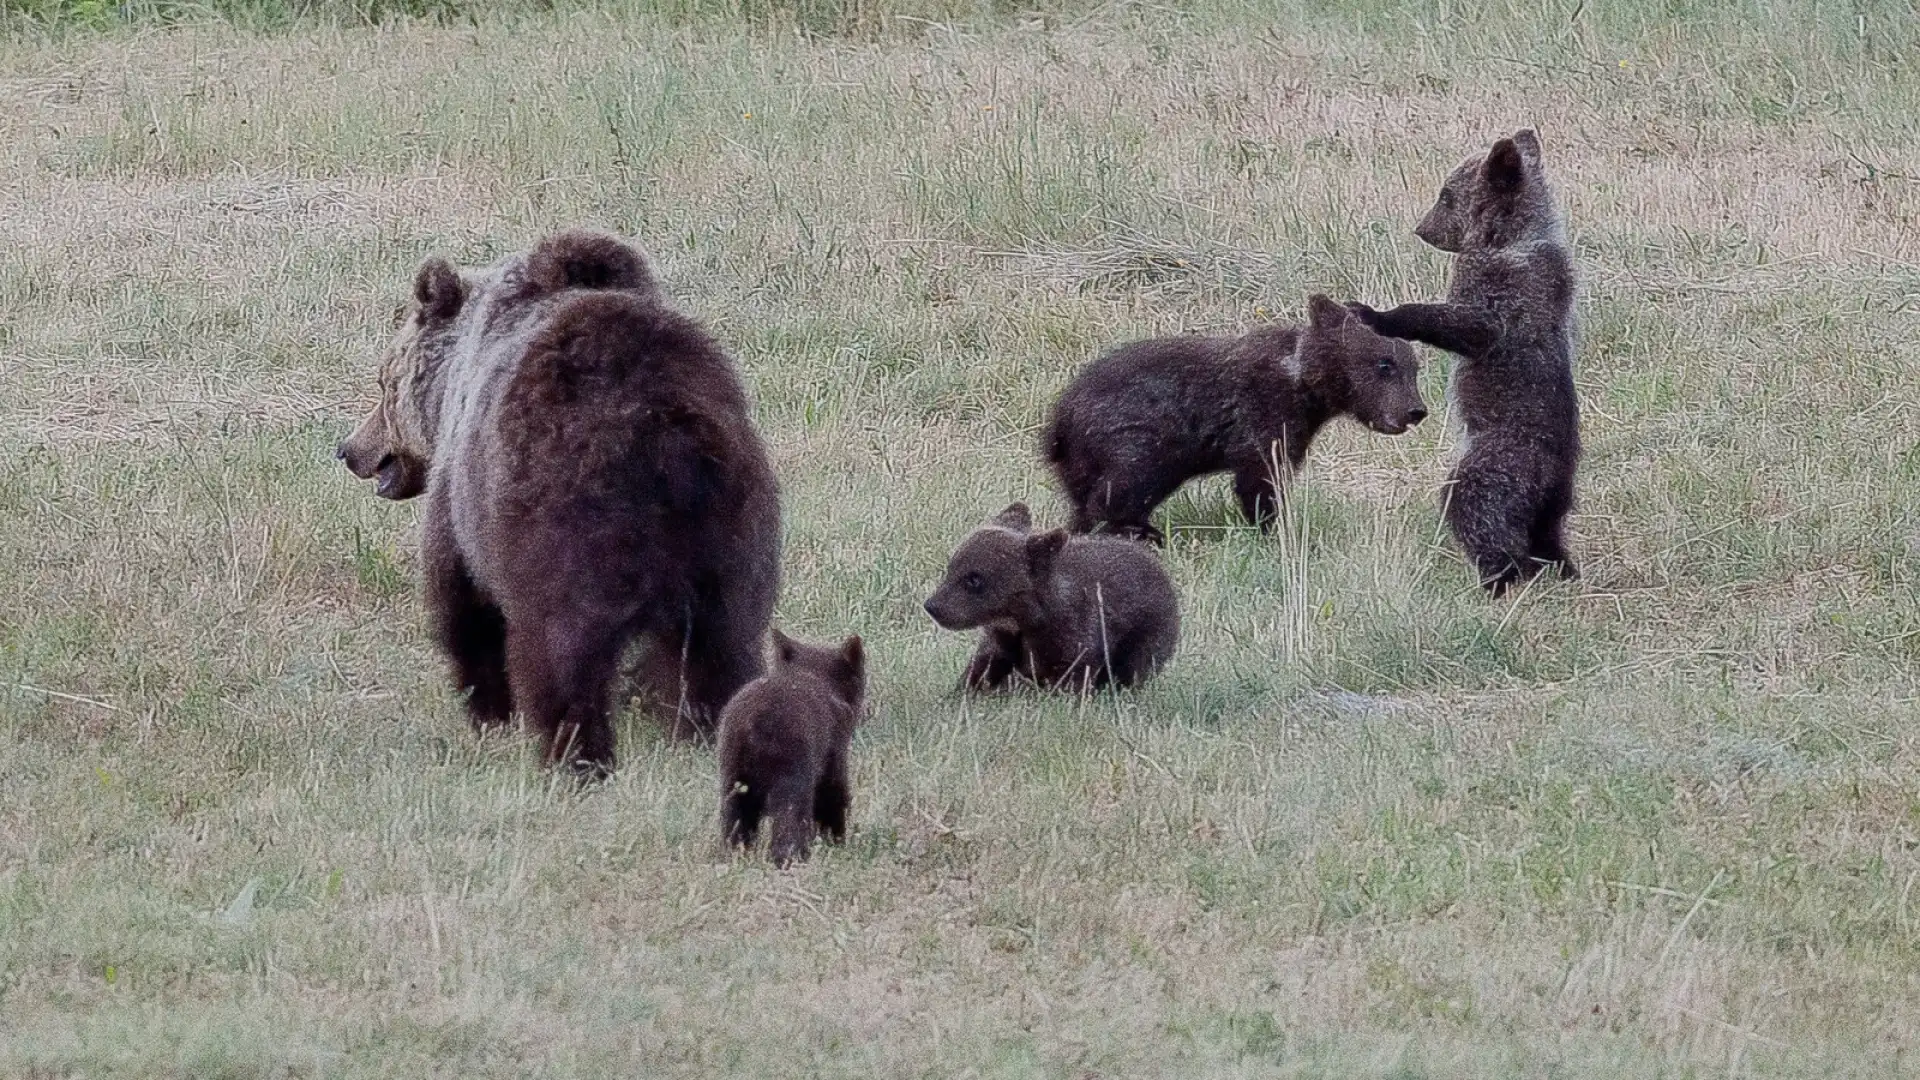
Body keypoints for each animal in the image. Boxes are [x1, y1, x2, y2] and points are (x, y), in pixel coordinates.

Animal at [337, 231, 779, 776]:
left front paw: (487, 710)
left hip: (564, 524)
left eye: (382, 382)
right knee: (722, 647)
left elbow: (461, 597)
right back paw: (712, 733)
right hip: (732, 532)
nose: (348, 449)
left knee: (560, 650)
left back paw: (572, 752)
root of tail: (666, 440)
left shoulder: (462, 490)